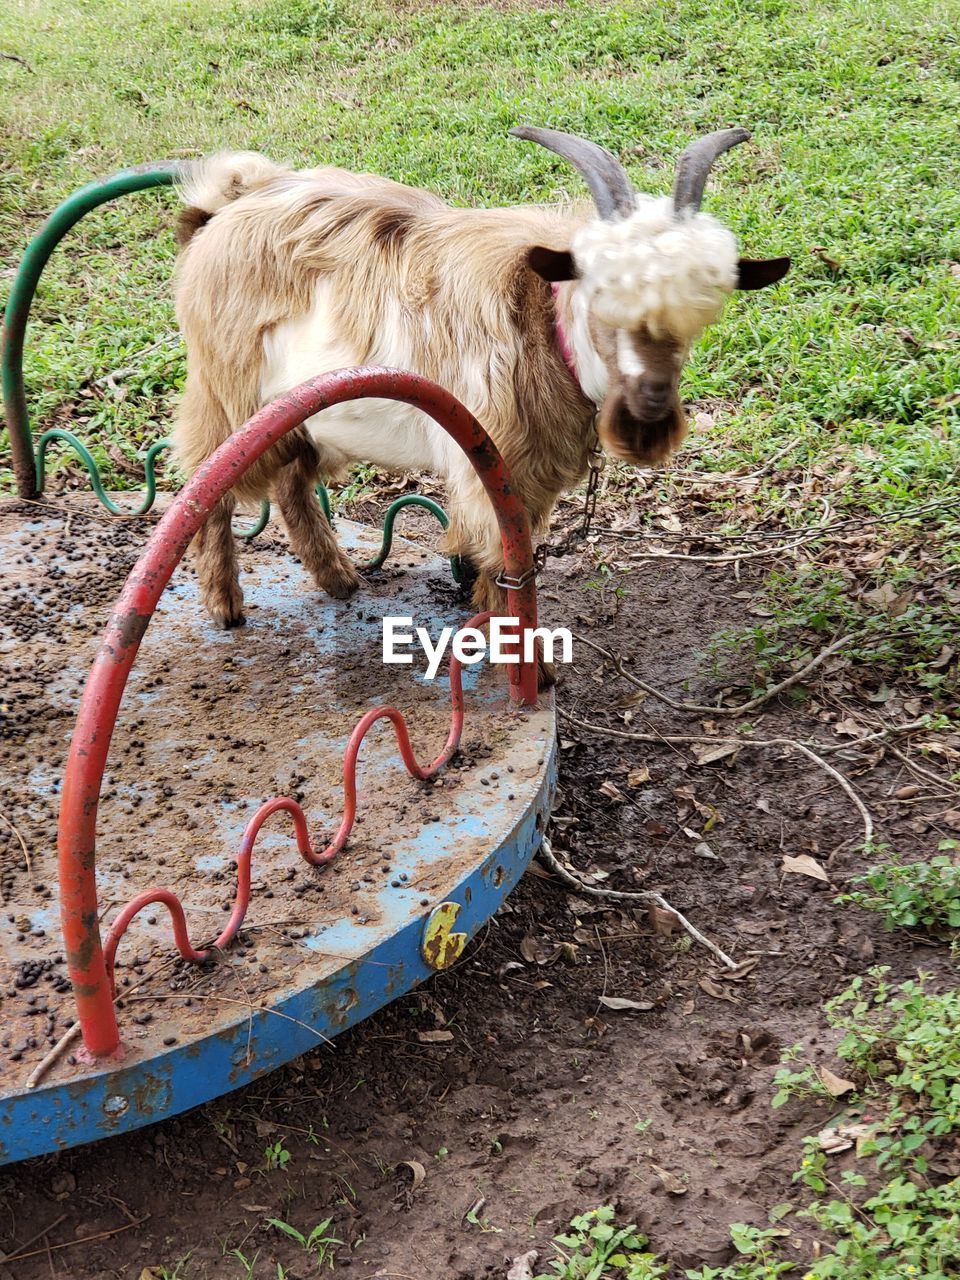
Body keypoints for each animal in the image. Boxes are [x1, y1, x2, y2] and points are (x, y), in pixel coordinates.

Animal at [172, 126, 788, 680]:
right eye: (599, 298)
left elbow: (512, 558)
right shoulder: (493, 462)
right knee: (208, 481)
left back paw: (338, 579)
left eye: (698, 317)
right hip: (228, 393)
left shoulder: (529, 477)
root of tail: (224, 209)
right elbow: (504, 562)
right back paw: (225, 606)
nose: (650, 410)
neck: (544, 325)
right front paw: (528, 666)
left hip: (312, 416)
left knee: (291, 482)